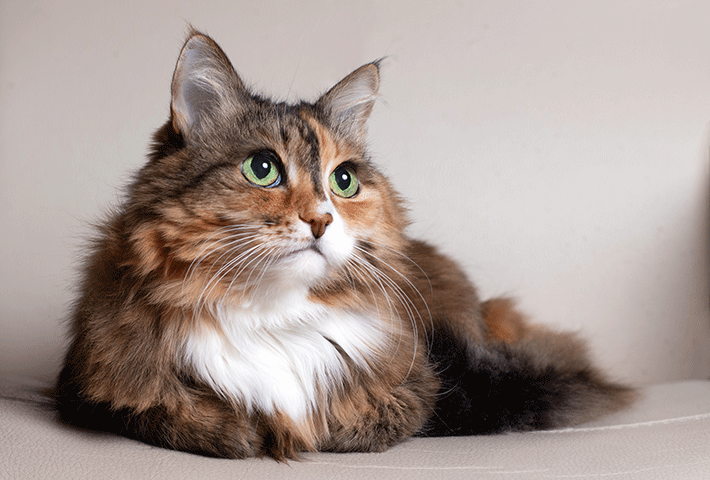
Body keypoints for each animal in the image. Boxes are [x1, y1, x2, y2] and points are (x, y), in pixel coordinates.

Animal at [54, 29, 636, 458]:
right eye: (262, 169)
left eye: (344, 181)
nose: (321, 220)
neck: (272, 313)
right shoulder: (89, 388)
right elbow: (179, 417)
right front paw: (245, 431)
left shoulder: (418, 389)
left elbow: (362, 426)